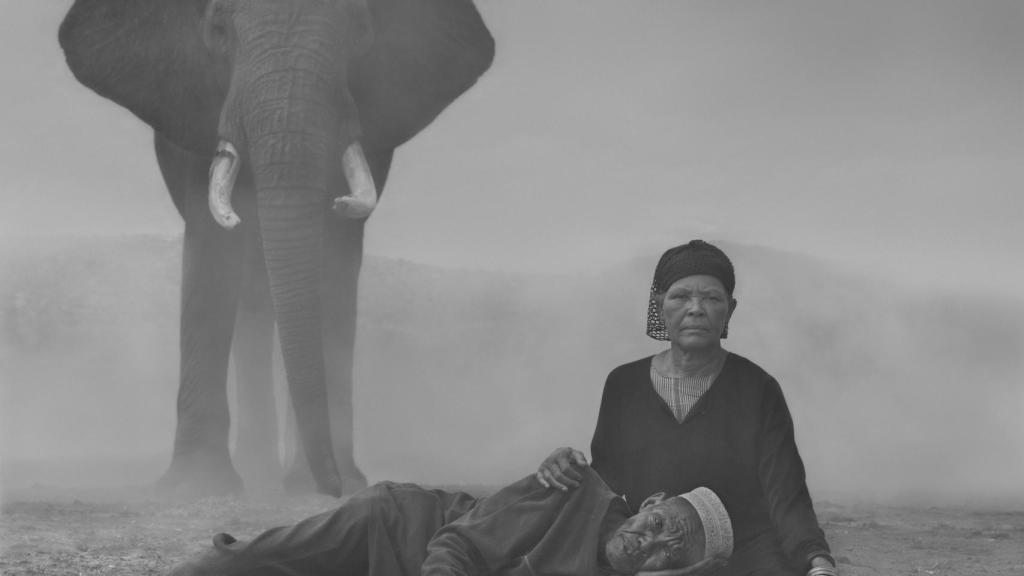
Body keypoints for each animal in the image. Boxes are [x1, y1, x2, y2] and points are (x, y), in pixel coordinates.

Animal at [58, 0, 493, 494]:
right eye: (219, 30)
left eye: (360, 29)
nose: (334, 489)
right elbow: (212, 252)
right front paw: (197, 485)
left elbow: (335, 261)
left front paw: (319, 483)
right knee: (250, 298)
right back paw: (259, 472)